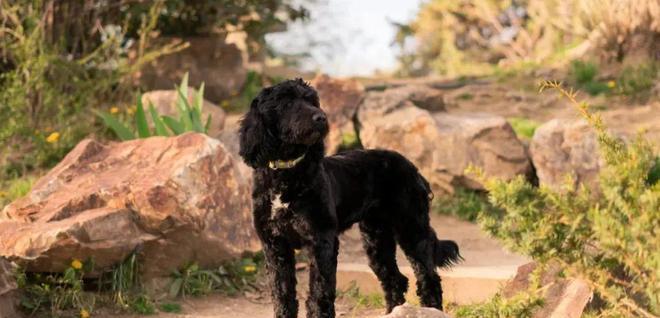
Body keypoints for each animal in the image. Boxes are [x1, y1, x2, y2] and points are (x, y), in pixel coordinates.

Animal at [240, 79, 462, 318]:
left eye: (312, 101)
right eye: (286, 103)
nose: (321, 117)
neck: (286, 174)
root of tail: (412, 167)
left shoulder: (322, 241)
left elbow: (319, 293)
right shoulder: (275, 245)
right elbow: (282, 294)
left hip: (412, 228)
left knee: (429, 279)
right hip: (377, 238)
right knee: (395, 279)